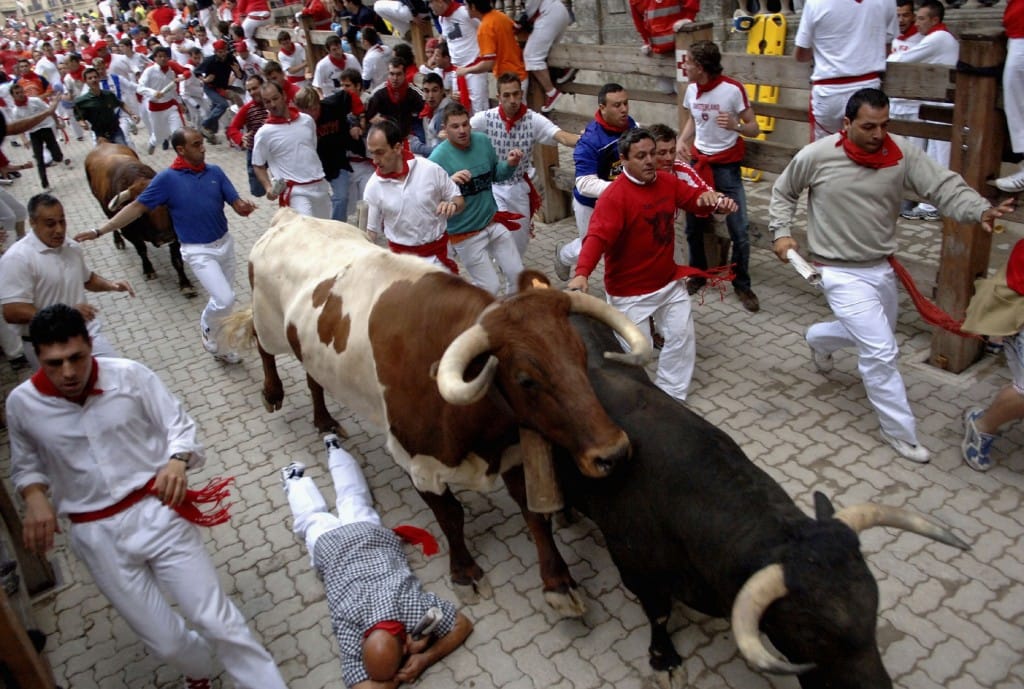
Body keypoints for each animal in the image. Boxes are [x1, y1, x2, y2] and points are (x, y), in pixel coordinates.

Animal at [83, 142, 195, 294]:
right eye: (142, 212)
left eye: (168, 206)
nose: (166, 237)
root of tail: (103, 143)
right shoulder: (130, 233)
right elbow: (141, 250)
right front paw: (148, 270)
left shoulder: (175, 233)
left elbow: (177, 259)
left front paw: (185, 283)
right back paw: (118, 241)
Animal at [231, 206, 651, 610]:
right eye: (525, 379)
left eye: (582, 355)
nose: (613, 452)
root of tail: (290, 218)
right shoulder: (420, 463)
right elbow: (451, 517)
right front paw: (465, 573)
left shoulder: (512, 451)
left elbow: (533, 513)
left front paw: (558, 582)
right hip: (269, 323)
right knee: (262, 344)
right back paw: (272, 392)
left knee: (313, 376)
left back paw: (324, 420)